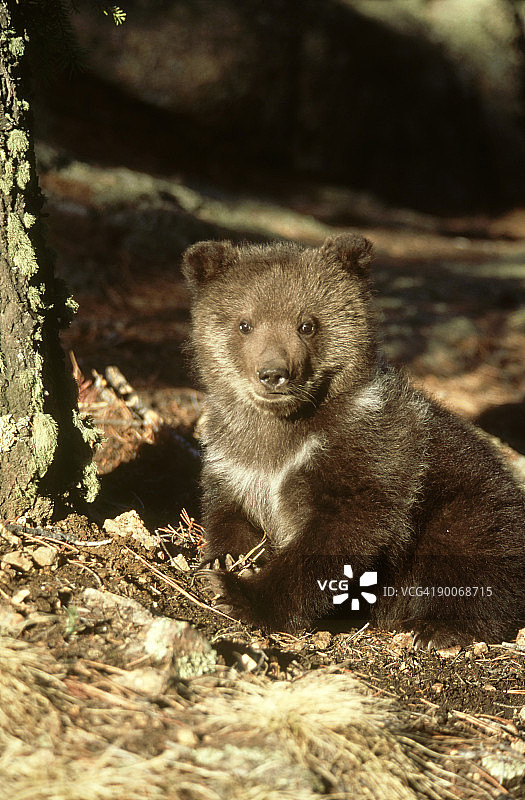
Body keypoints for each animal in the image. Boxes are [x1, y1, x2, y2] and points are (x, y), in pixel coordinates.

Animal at [182, 233, 525, 649]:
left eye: (307, 324)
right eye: (244, 323)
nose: (273, 373)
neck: (284, 433)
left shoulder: (367, 456)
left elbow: (337, 539)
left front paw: (240, 595)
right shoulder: (233, 459)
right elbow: (226, 511)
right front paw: (227, 560)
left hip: (467, 501)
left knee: (472, 553)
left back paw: (436, 628)